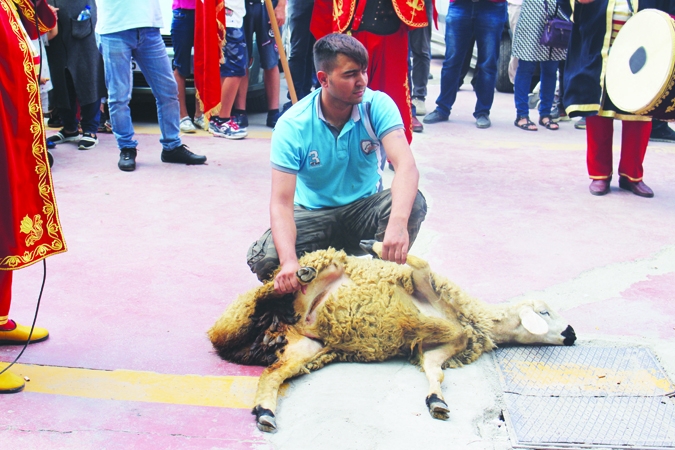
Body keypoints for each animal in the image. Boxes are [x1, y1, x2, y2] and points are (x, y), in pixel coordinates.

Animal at [210, 243, 576, 432]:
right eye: (544, 312)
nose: (571, 334)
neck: (475, 318)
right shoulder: (423, 281)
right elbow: (418, 262)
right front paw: (372, 246)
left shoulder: (440, 348)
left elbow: (435, 370)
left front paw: (436, 401)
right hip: (304, 278)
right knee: (269, 291)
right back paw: (300, 273)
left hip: (306, 348)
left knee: (271, 375)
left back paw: (265, 411)